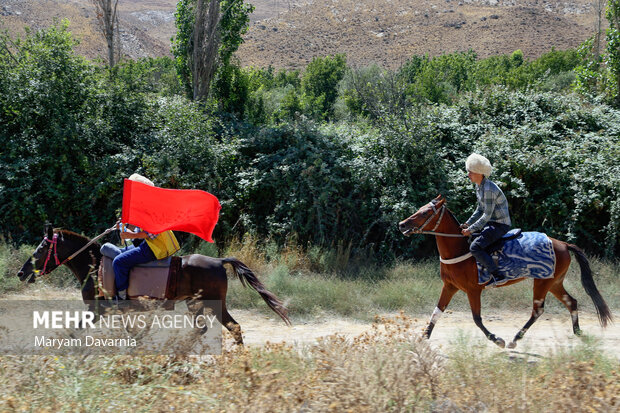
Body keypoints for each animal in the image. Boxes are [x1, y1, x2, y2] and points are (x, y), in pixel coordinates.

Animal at [15, 224, 292, 342]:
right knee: (211, 328)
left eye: (41, 248)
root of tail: (218, 260)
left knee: (233, 327)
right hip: (197, 305)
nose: (21, 272)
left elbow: (74, 331)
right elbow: (133, 332)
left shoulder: (97, 310)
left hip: (213, 304)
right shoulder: (119, 312)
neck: (94, 266)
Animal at [400, 195, 612, 346]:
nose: (402, 224)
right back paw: (577, 331)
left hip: (542, 282)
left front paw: (497, 339)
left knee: (538, 310)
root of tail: (563, 244)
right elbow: (437, 312)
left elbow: (477, 319)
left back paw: (514, 339)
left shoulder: (473, 290)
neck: (460, 249)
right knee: (571, 302)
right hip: (554, 282)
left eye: (425, 213)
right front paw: (423, 337)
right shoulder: (450, 287)